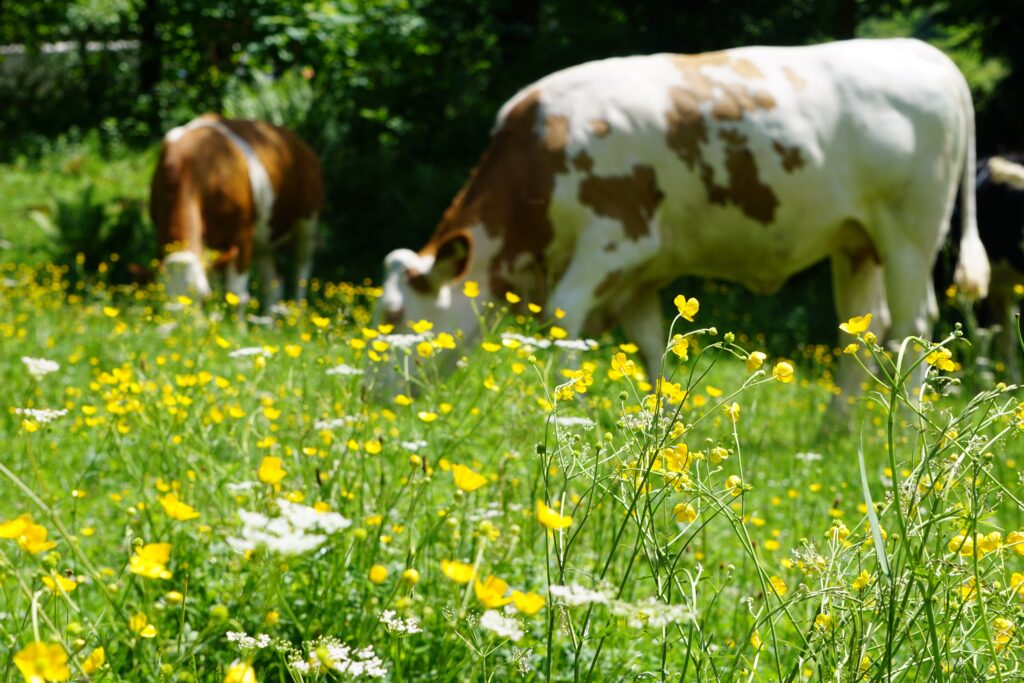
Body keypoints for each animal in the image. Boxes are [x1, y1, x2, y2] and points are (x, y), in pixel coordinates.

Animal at [150, 114, 324, 308]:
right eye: (162, 300)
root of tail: (302, 145)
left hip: (308, 220)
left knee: (302, 270)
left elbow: (236, 295)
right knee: (274, 284)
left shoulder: (242, 234)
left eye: (205, 297)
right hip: (265, 240)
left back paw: (299, 310)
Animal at [379, 38, 990, 404]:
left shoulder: (614, 241)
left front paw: (565, 403)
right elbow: (654, 346)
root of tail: (922, 52)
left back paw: (903, 433)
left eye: (396, 316)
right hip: (855, 242)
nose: (372, 395)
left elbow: (562, 321)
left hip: (910, 232)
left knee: (912, 324)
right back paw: (836, 433)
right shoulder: (638, 276)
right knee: (862, 327)